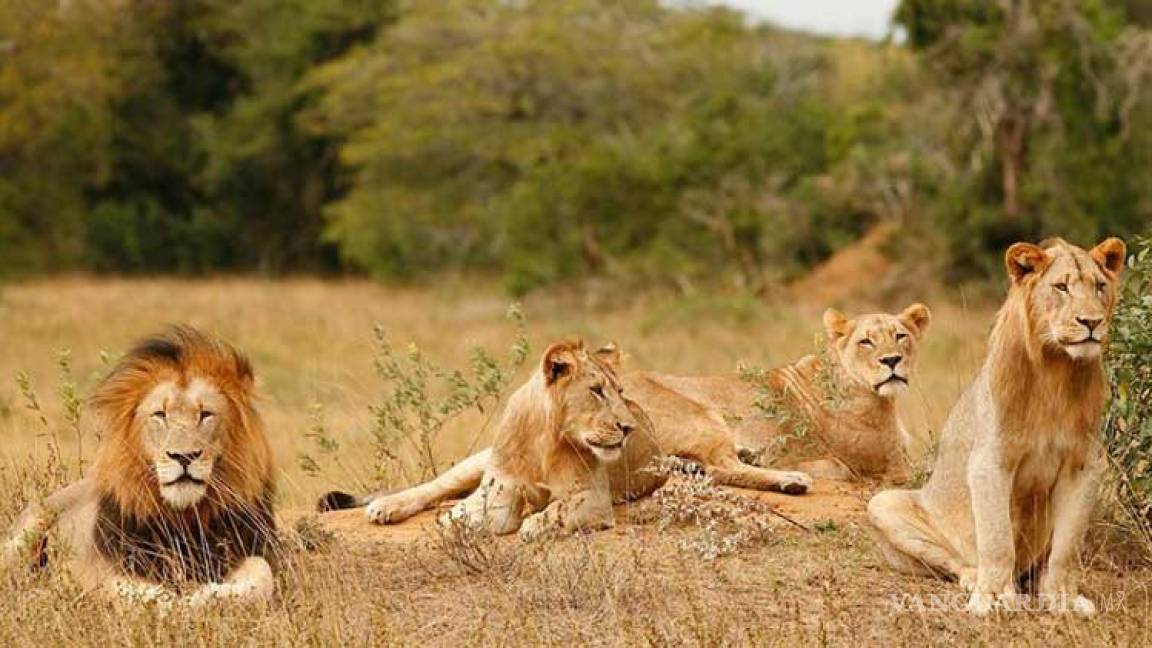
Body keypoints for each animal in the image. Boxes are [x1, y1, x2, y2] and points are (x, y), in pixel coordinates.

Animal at [0, 327, 278, 604]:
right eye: (160, 415)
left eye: (205, 414)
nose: (183, 456)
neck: (183, 519)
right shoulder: (102, 564)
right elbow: (130, 592)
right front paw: (176, 603)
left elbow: (262, 572)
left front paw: (206, 597)